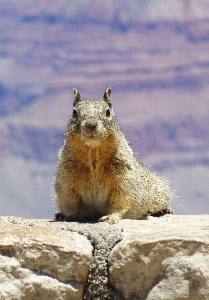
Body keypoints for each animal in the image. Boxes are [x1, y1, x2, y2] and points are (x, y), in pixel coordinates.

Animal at [54, 86, 173, 223]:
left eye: (108, 112)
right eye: (74, 112)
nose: (91, 125)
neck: (93, 154)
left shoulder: (123, 175)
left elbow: (121, 199)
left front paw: (111, 217)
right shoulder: (67, 177)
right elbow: (70, 201)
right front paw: (70, 216)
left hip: (159, 191)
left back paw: (163, 210)